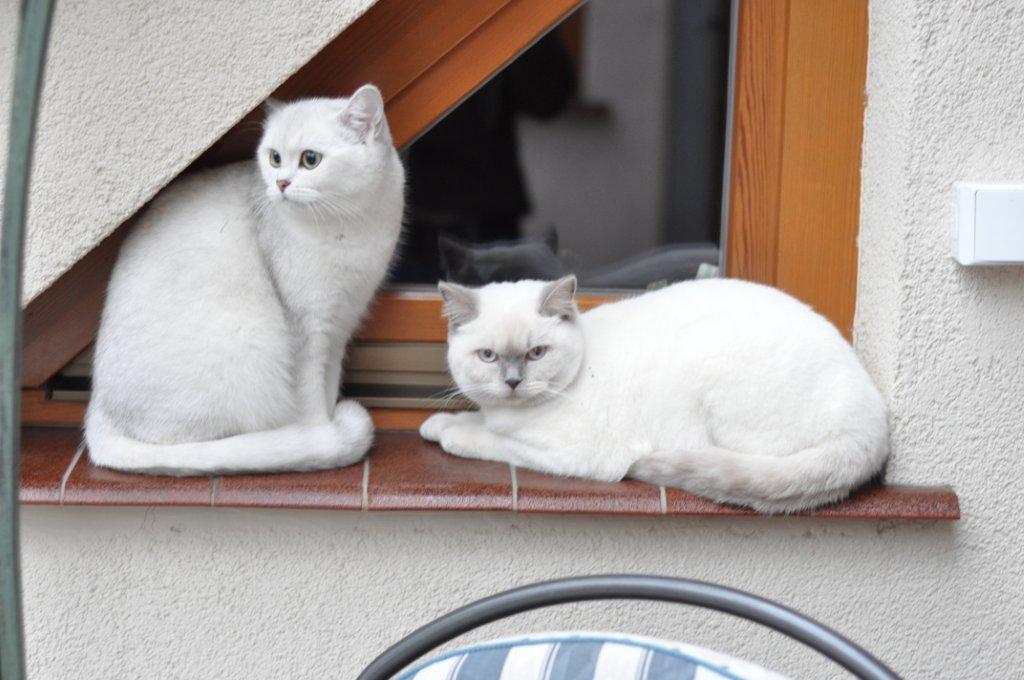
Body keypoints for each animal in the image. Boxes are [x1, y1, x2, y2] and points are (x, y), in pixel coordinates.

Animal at [85, 85, 405, 475]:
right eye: (274, 158)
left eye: (310, 160)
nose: (280, 183)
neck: (349, 224)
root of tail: (98, 409)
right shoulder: (309, 330)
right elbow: (312, 402)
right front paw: (322, 436)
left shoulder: (339, 326)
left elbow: (328, 388)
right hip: (247, 344)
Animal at [420, 276, 889, 512]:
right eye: (487, 356)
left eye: (537, 353)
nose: (513, 381)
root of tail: (873, 422)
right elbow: (474, 419)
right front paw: (437, 423)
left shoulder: (572, 453)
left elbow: (488, 440)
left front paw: (452, 434)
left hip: (702, 355)